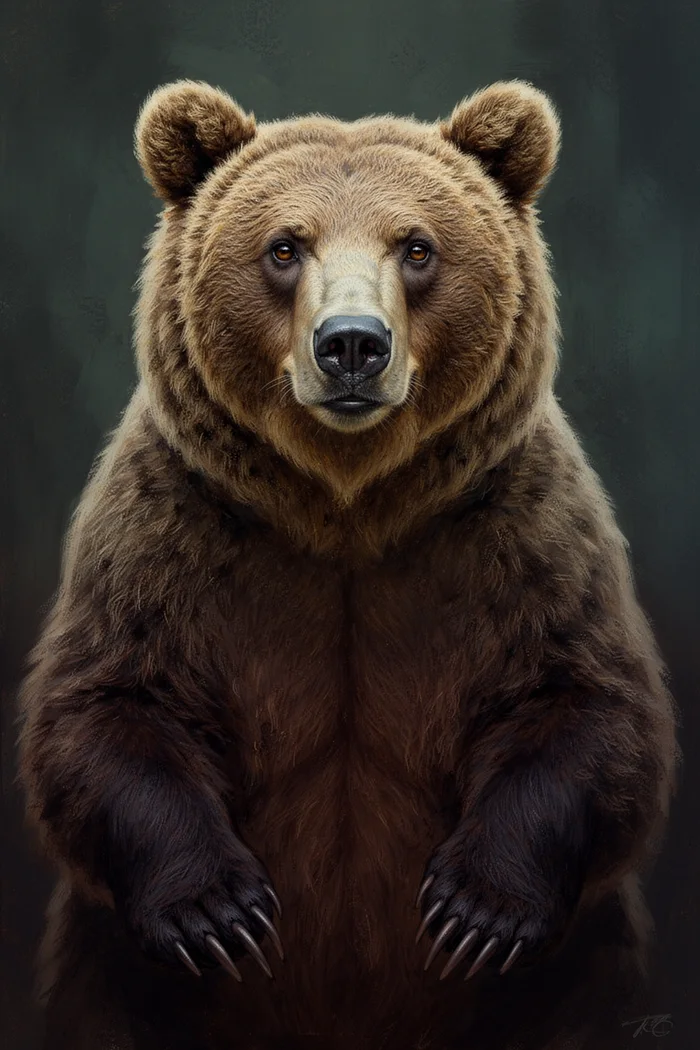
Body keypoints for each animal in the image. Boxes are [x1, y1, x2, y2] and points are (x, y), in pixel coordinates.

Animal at [17, 78, 678, 1050]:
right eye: (285, 246)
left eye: (418, 246)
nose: (353, 343)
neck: (346, 506)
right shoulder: (172, 533)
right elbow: (104, 707)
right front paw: (220, 913)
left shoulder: (516, 532)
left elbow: (591, 705)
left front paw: (473, 913)